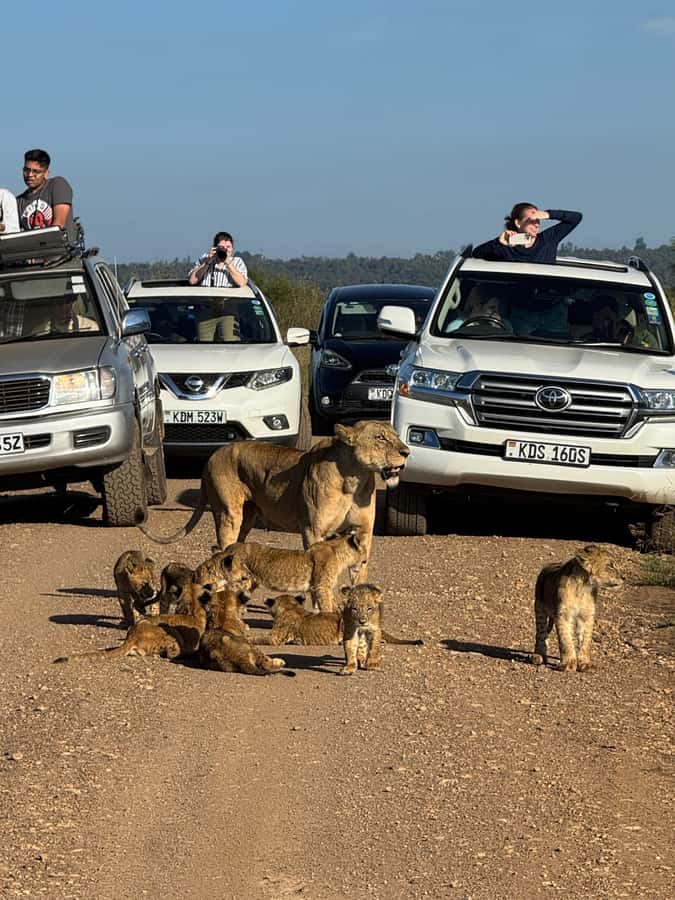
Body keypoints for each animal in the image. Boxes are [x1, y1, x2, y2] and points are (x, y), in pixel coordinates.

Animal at [139, 420, 410, 580]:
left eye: (397, 435)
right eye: (380, 438)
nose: (407, 452)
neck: (354, 479)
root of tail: (212, 457)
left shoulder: (362, 533)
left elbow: (359, 573)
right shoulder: (313, 531)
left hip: (248, 518)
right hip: (228, 513)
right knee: (223, 546)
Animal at [199, 530, 368, 612]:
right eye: (364, 556)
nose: (366, 561)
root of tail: (228, 548)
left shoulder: (322, 587)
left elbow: (332, 604)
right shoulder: (321, 586)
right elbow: (327, 606)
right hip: (238, 582)